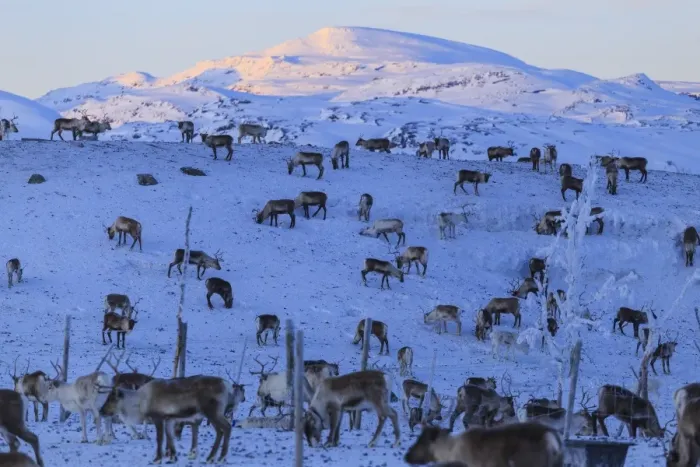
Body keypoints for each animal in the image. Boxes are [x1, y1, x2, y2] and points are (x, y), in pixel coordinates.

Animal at [113, 374, 245, 464]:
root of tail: (227, 386)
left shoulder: (161, 417)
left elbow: (163, 437)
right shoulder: (169, 419)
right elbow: (169, 436)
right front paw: (172, 455)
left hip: (213, 413)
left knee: (226, 427)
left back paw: (220, 457)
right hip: (212, 414)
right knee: (220, 430)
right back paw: (211, 457)